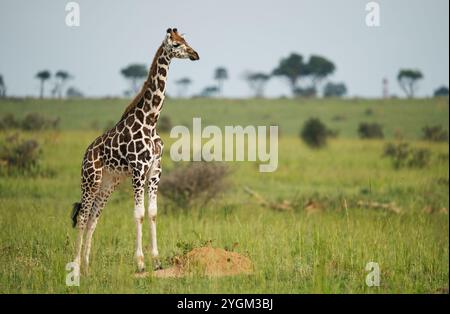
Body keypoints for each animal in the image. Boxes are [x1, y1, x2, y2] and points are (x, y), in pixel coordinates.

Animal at [71, 27, 200, 272]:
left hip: (108, 183)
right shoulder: (138, 169)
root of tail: (85, 154)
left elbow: (153, 213)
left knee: (93, 218)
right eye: (176, 45)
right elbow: (138, 214)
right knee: (82, 217)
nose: (195, 54)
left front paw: (157, 261)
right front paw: (140, 263)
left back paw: (87, 266)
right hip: (90, 179)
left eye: (185, 40)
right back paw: (75, 266)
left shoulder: (155, 170)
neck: (150, 120)